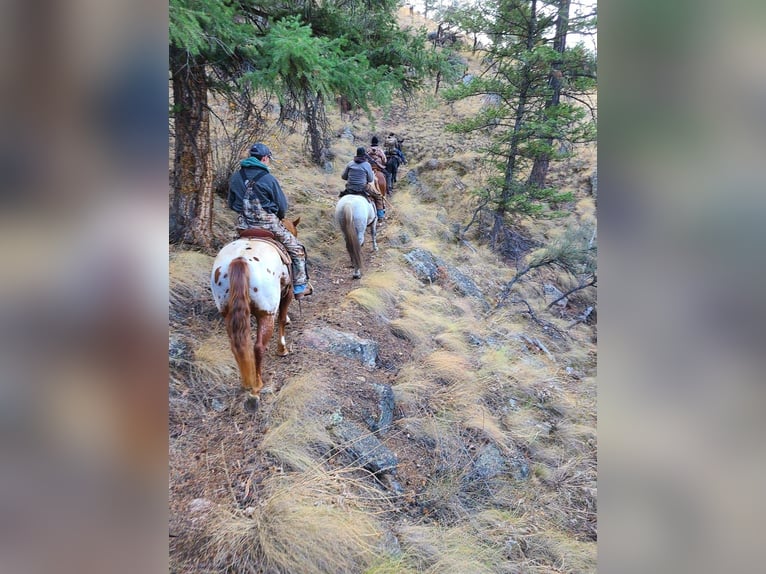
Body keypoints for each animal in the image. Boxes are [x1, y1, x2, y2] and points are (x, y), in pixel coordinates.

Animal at [213, 218, 306, 412]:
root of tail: (240, 259)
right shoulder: (287, 294)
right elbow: (281, 319)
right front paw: (282, 349)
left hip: (227, 313)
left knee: (237, 346)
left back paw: (246, 382)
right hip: (266, 313)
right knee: (258, 347)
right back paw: (256, 387)